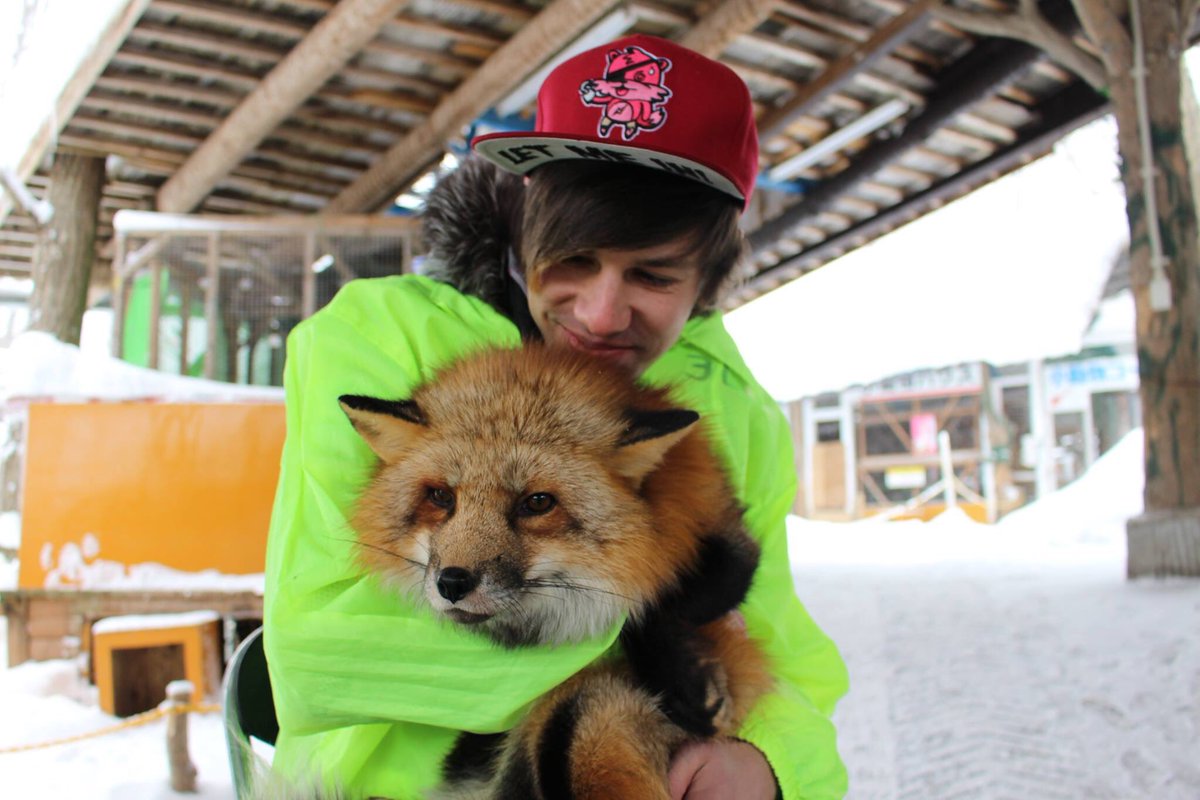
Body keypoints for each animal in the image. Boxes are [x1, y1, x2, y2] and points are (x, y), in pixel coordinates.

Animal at [338, 344, 773, 800]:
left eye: (537, 502)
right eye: (440, 496)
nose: (452, 583)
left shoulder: (727, 537)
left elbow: (656, 604)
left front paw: (686, 683)